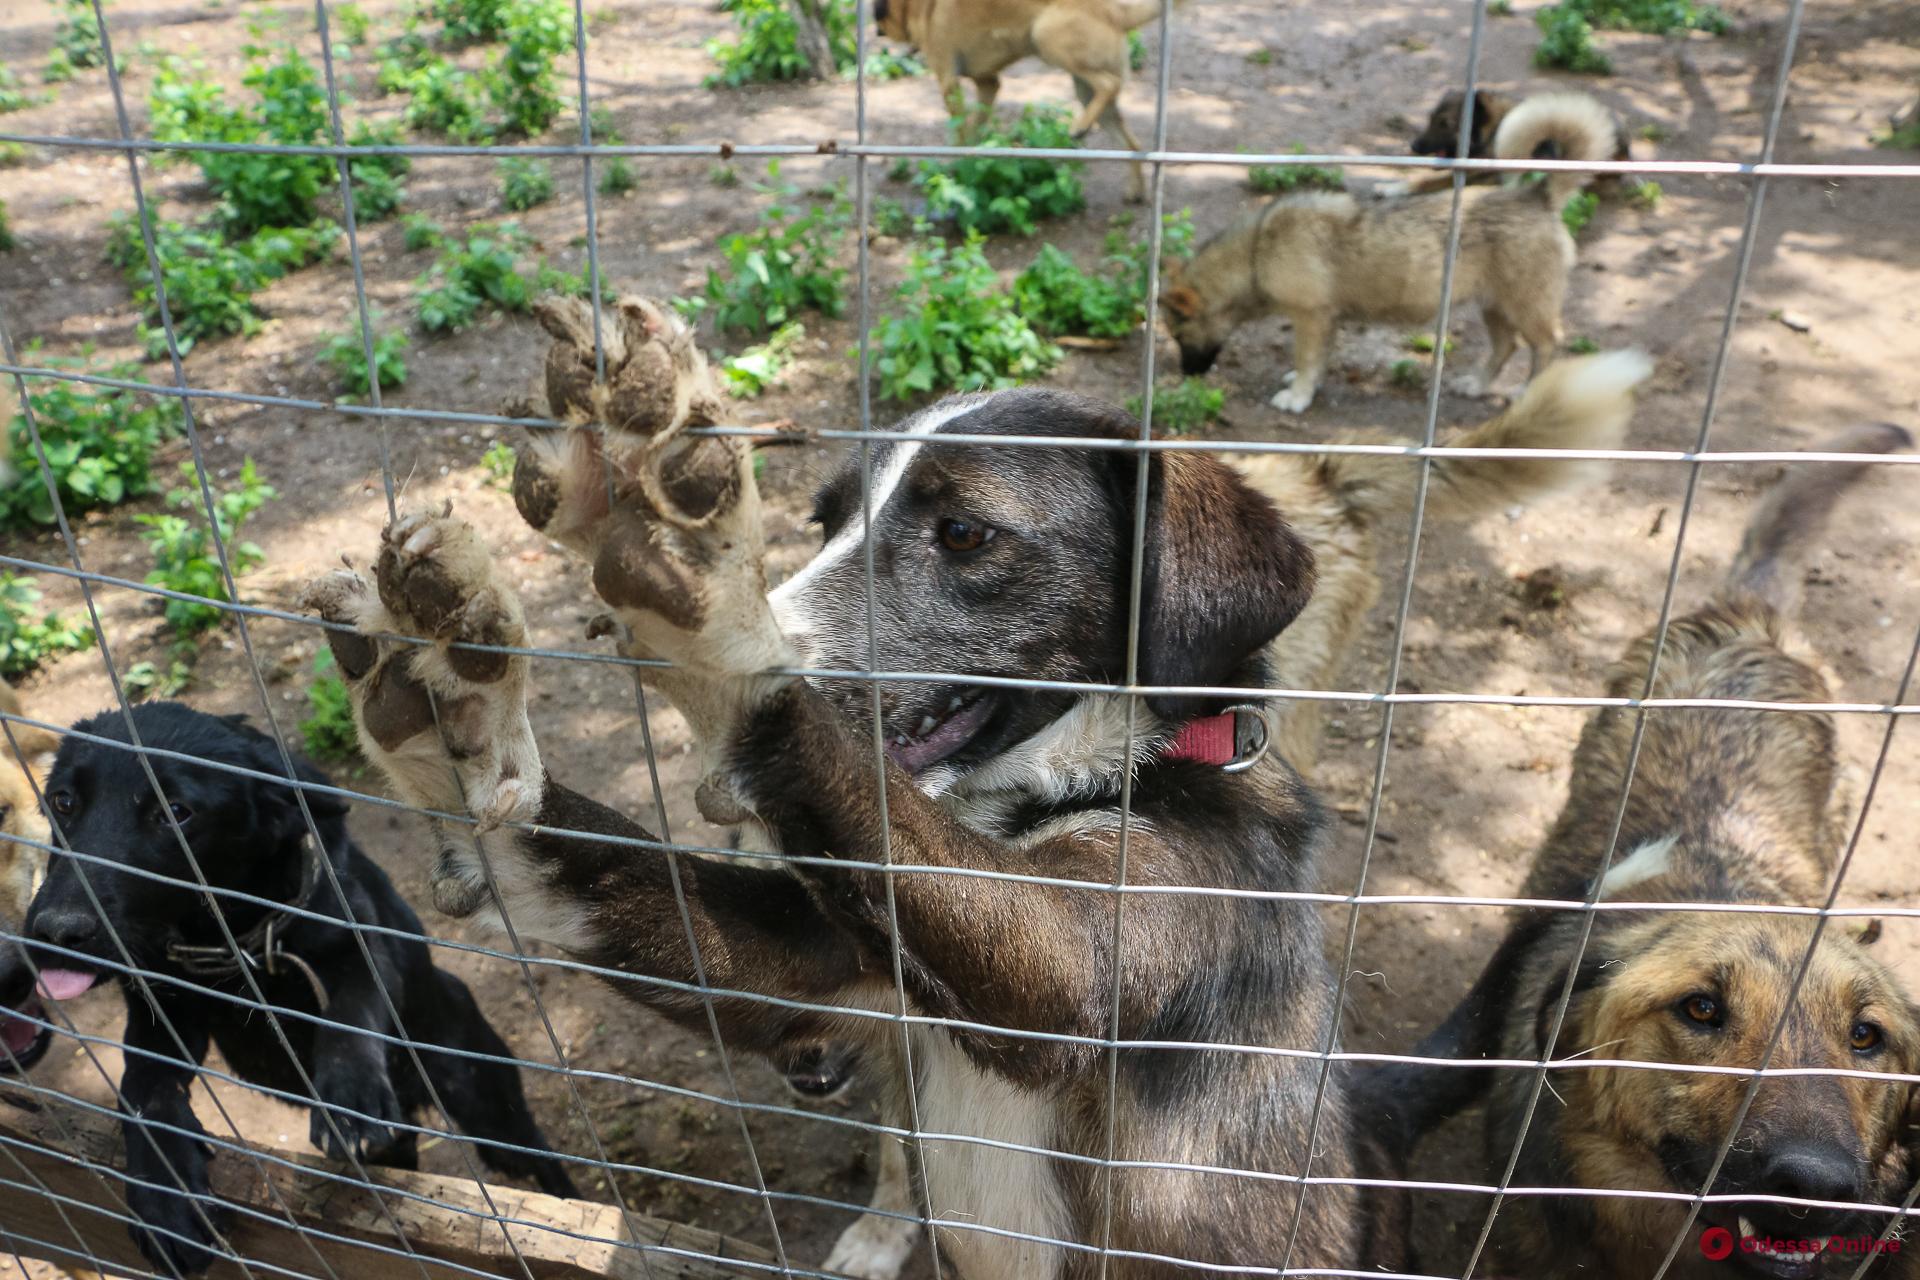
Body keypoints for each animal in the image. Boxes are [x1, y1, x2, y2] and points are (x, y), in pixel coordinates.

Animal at [20, 706, 576, 1274]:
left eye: (175, 813)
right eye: (63, 802)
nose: (55, 932)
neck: (232, 939)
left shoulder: (360, 949)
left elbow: (348, 1016)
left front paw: (349, 1100)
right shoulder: (163, 1020)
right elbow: (141, 1087)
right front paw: (165, 1195)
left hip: (488, 1107)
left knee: (542, 1166)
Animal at [299, 295, 1651, 1274]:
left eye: (963, 534)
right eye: (828, 520)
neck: (1057, 790)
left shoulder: (1076, 952)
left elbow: (792, 720)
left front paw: (697, 591)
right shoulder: (813, 973)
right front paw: (451, 709)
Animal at [875, 0, 1182, 200]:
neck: (918, 6)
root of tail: (1116, 13)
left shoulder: (949, 80)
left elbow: (960, 129)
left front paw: (957, 167)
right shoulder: (989, 83)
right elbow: (975, 127)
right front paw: (972, 163)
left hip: (1044, 35)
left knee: (1109, 83)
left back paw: (1079, 127)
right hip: (1088, 93)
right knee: (1132, 142)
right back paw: (1135, 190)